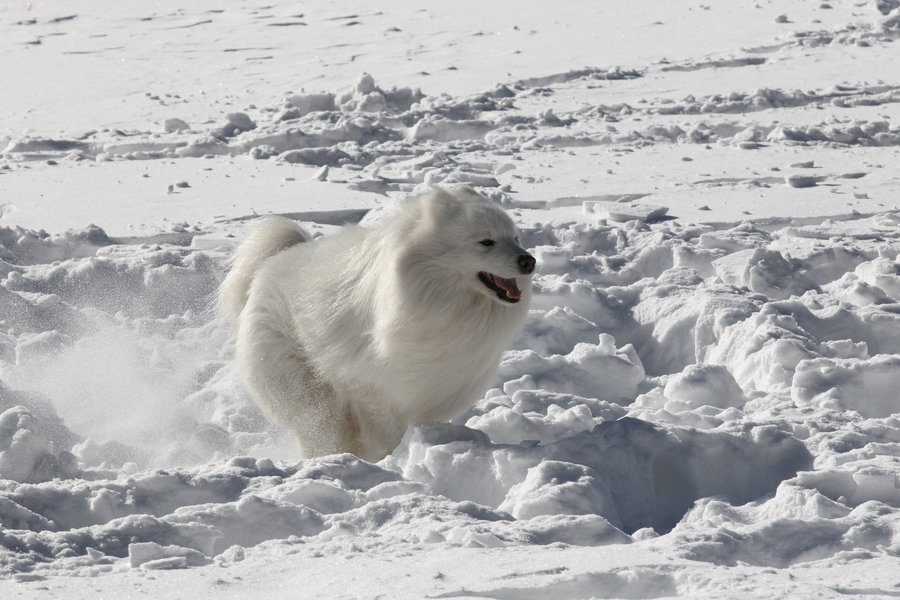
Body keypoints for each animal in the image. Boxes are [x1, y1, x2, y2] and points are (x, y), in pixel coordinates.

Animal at [221, 186, 536, 460]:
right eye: (486, 241)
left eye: (516, 238)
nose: (529, 261)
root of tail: (271, 263)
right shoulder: (368, 387)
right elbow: (385, 432)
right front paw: (388, 458)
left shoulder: (436, 388)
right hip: (308, 391)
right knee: (322, 428)